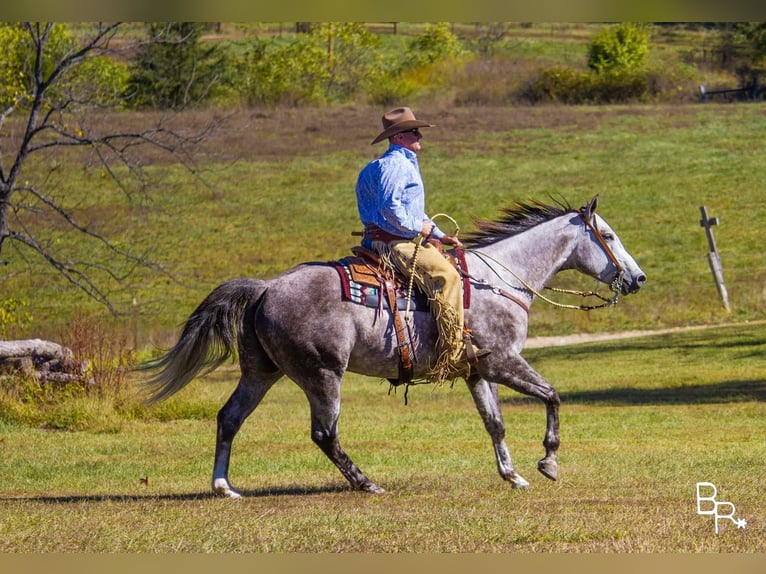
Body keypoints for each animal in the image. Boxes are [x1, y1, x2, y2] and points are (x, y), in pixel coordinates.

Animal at [141, 196, 644, 498]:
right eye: (609, 235)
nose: (637, 278)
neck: (500, 279)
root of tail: (266, 287)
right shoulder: (504, 361)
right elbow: (552, 396)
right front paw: (548, 463)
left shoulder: (478, 371)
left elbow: (495, 424)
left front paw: (513, 475)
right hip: (322, 375)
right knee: (324, 433)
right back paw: (366, 483)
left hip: (261, 372)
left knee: (229, 418)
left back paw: (224, 486)